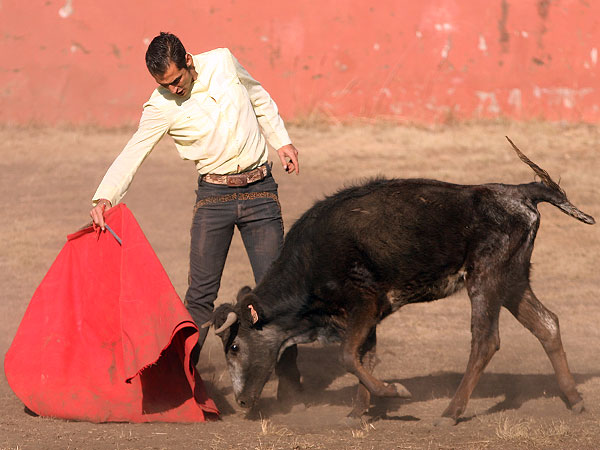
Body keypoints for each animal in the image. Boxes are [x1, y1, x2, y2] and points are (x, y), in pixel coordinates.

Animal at [206, 139, 596, 424]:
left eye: (235, 346)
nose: (242, 403)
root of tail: (519, 192)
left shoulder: (365, 303)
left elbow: (348, 356)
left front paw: (392, 393)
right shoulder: (365, 317)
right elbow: (364, 357)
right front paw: (358, 412)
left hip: (485, 278)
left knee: (486, 342)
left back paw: (450, 413)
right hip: (513, 278)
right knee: (547, 324)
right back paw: (574, 400)